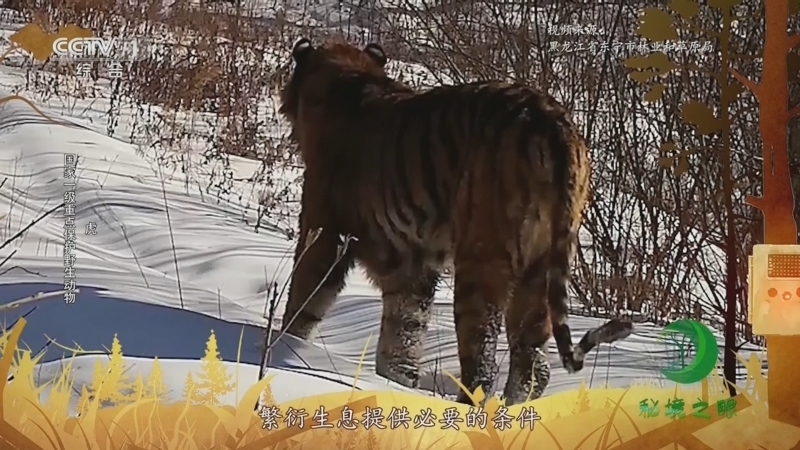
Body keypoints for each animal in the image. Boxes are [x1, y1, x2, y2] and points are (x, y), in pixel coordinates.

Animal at [276, 37, 633, 406]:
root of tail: (552, 120)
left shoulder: (323, 231)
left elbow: (303, 302)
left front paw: (283, 347)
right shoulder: (412, 267)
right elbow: (404, 335)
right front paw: (397, 383)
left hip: (481, 261)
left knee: (483, 364)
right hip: (539, 267)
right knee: (533, 363)